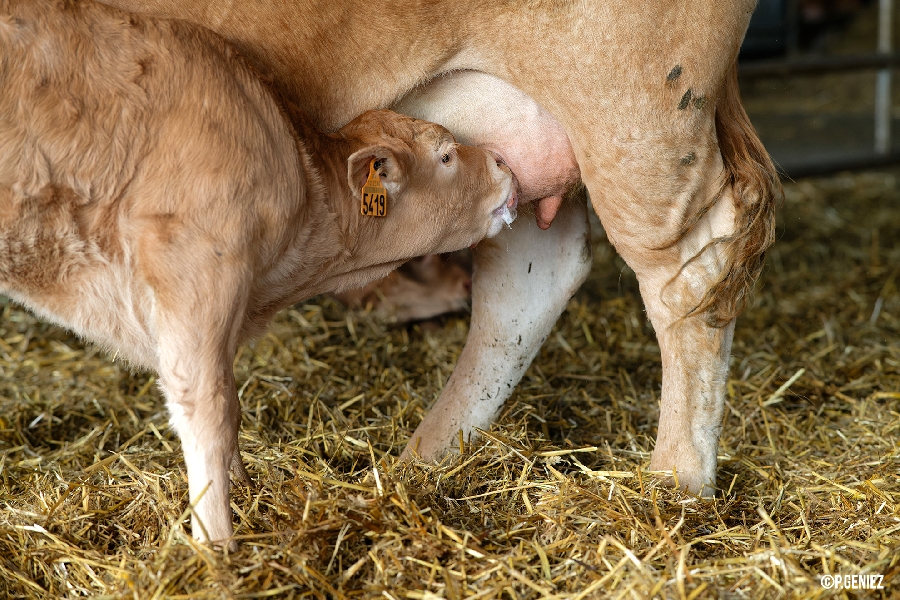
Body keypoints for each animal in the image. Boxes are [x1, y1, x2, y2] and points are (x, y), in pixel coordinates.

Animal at [0, 0, 516, 548]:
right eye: (446, 155)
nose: (505, 163)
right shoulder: (195, 269)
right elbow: (209, 409)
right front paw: (217, 543)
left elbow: (231, 402)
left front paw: (246, 486)